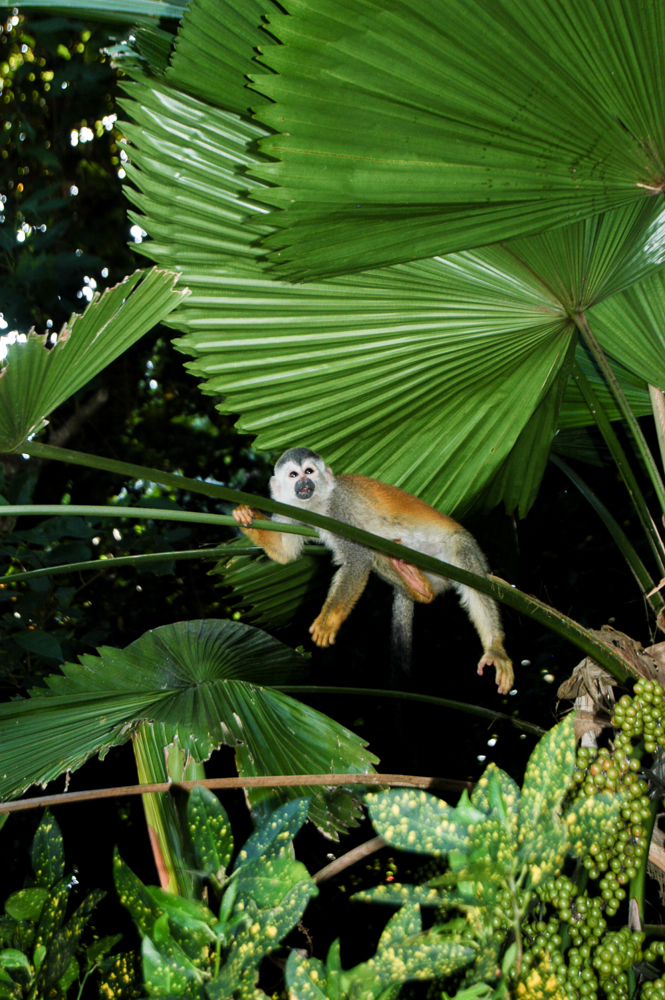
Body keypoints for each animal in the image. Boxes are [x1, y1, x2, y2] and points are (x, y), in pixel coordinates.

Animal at [232, 448, 512, 696]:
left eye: (309, 471)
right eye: (293, 475)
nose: (304, 483)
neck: (317, 504)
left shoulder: (339, 512)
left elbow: (357, 560)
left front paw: (328, 621)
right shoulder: (291, 510)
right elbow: (285, 552)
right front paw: (246, 514)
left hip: (459, 547)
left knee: (468, 570)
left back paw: (494, 647)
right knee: (381, 555)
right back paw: (419, 588)